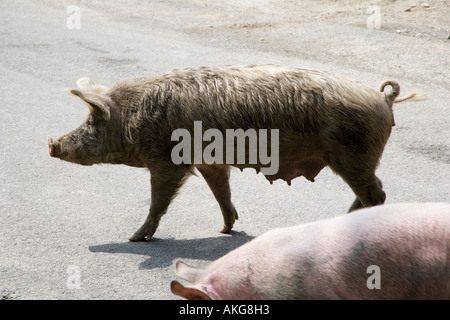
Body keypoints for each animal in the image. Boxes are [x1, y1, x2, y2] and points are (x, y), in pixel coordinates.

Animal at [48, 64, 426, 240]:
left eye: (92, 121)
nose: (52, 144)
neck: (132, 116)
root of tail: (383, 97)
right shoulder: (210, 163)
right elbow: (221, 192)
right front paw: (224, 230)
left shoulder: (167, 160)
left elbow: (158, 200)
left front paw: (134, 238)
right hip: (356, 159)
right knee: (371, 193)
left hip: (353, 155)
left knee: (376, 194)